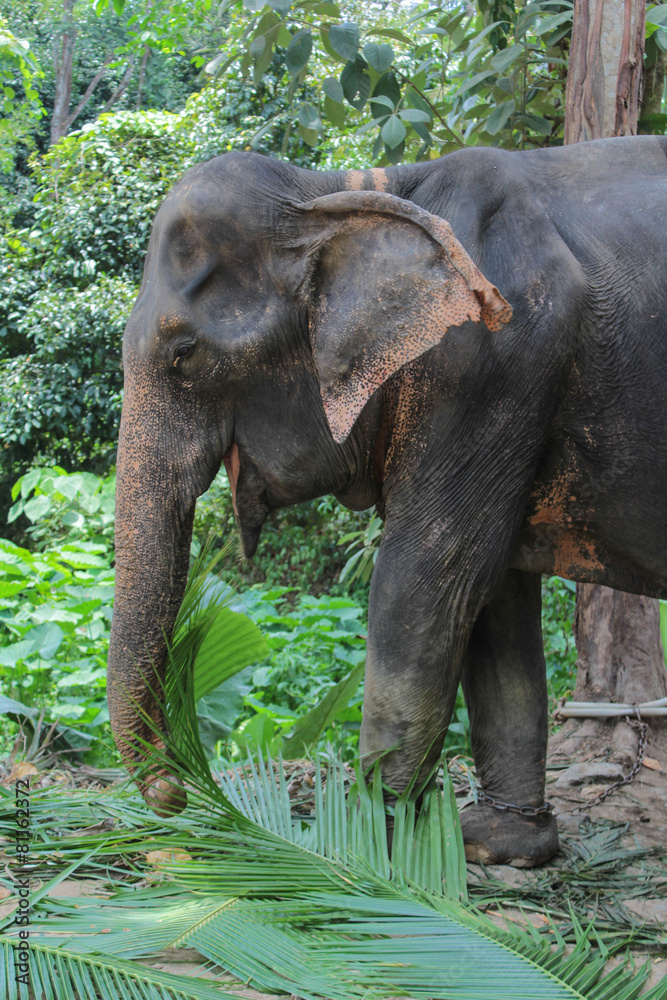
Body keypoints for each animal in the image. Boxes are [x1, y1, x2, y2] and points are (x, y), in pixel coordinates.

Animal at [108, 133, 667, 867]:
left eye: (184, 353)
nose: (175, 790)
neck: (345, 190)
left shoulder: (487, 357)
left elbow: (429, 575)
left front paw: (362, 854)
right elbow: (494, 595)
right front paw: (499, 846)